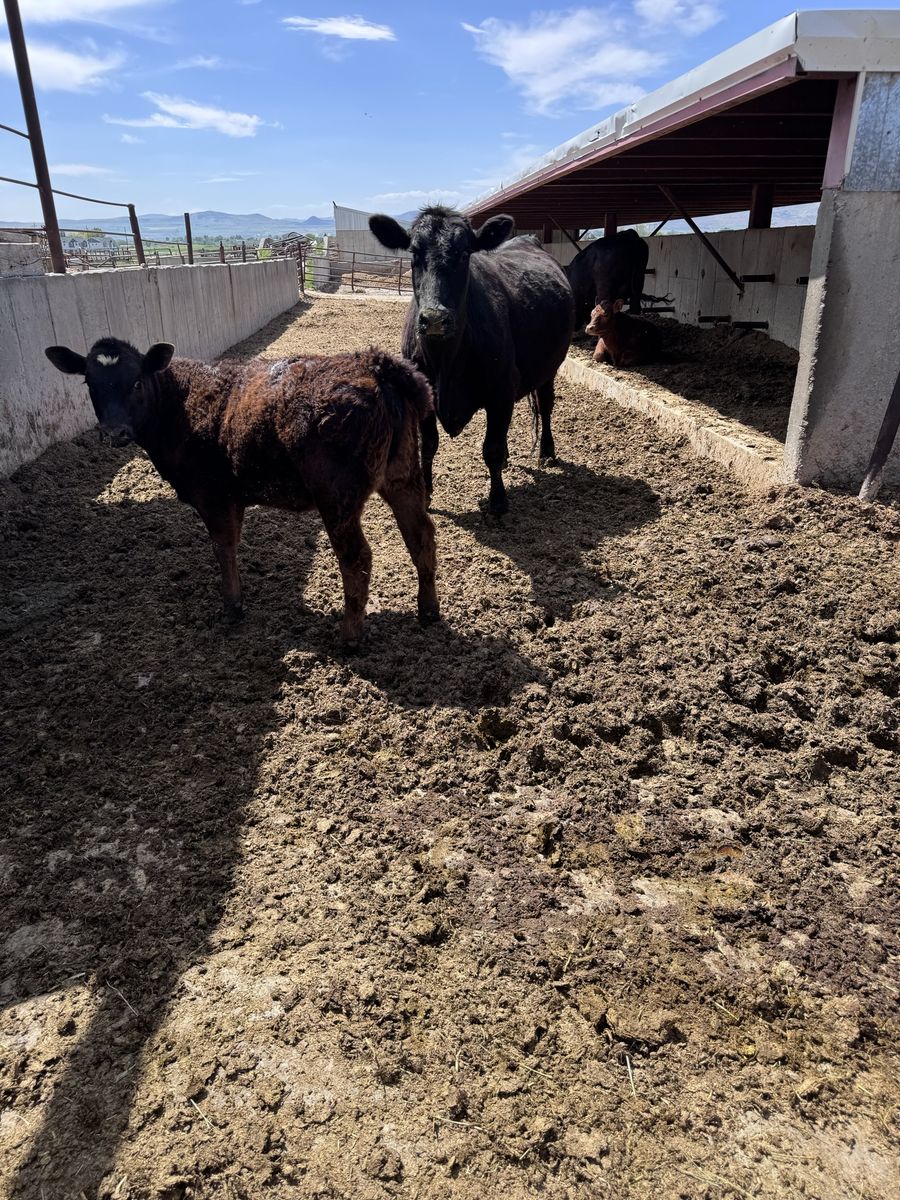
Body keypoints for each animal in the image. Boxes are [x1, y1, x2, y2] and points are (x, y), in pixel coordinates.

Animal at [45, 338, 439, 646]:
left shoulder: (211, 494)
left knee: (356, 557)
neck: (178, 405)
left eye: (137, 382)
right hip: (403, 475)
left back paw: (350, 637)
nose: (115, 432)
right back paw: (428, 610)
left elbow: (223, 547)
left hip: (337, 495)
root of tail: (373, 363)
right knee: (420, 536)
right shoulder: (233, 497)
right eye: (89, 382)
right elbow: (230, 545)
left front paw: (231, 607)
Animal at [368, 206, 575, 517]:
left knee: (546, 404)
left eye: (465, 253)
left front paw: (498, 502)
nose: (435, 318)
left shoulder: (501, 390)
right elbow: (429, 444)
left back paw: (547, 453)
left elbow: (491, 449)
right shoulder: (423, 395)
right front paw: (426, 494)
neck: (446, 363)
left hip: (550, 366)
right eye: (414, 252)